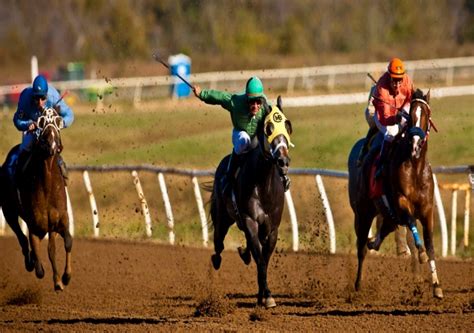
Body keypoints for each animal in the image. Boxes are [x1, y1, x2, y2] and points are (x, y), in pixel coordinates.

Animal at [0, 107, 72, 290]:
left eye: (58, 120)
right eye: (41, 121)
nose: (52, 145)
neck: (47, 187)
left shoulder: (59, 221)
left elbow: (65, 243)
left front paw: (64, 277)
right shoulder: (35, 226)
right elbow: (38, 259)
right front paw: (38, 265)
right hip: (9, 212)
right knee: (22, 238)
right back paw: (30, 261)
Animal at [208, 94, 290, 308]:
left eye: (288, 126)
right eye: (268, 128)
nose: (283, 161)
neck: (263, 185)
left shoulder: (272, 228)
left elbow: (264, 259)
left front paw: (263, 295)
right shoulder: (250, 220)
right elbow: (260, 258)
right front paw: (267, 296)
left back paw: (244, 253)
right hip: (223, 217)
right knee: (218, 243)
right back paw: (217, 258)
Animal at [346, 89, 442, 298]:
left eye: (426, 115)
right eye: (410, 116)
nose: (415, 145)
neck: (415, 168)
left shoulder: (427, 211)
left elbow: (431, 246)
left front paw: (437, 286)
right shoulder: (401, 203)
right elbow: (413, 224)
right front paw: (420, 253)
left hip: (387, 214)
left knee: (381, 232)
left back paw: (374, 243)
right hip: (364, 213)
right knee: (361, 248)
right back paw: (357, 284)